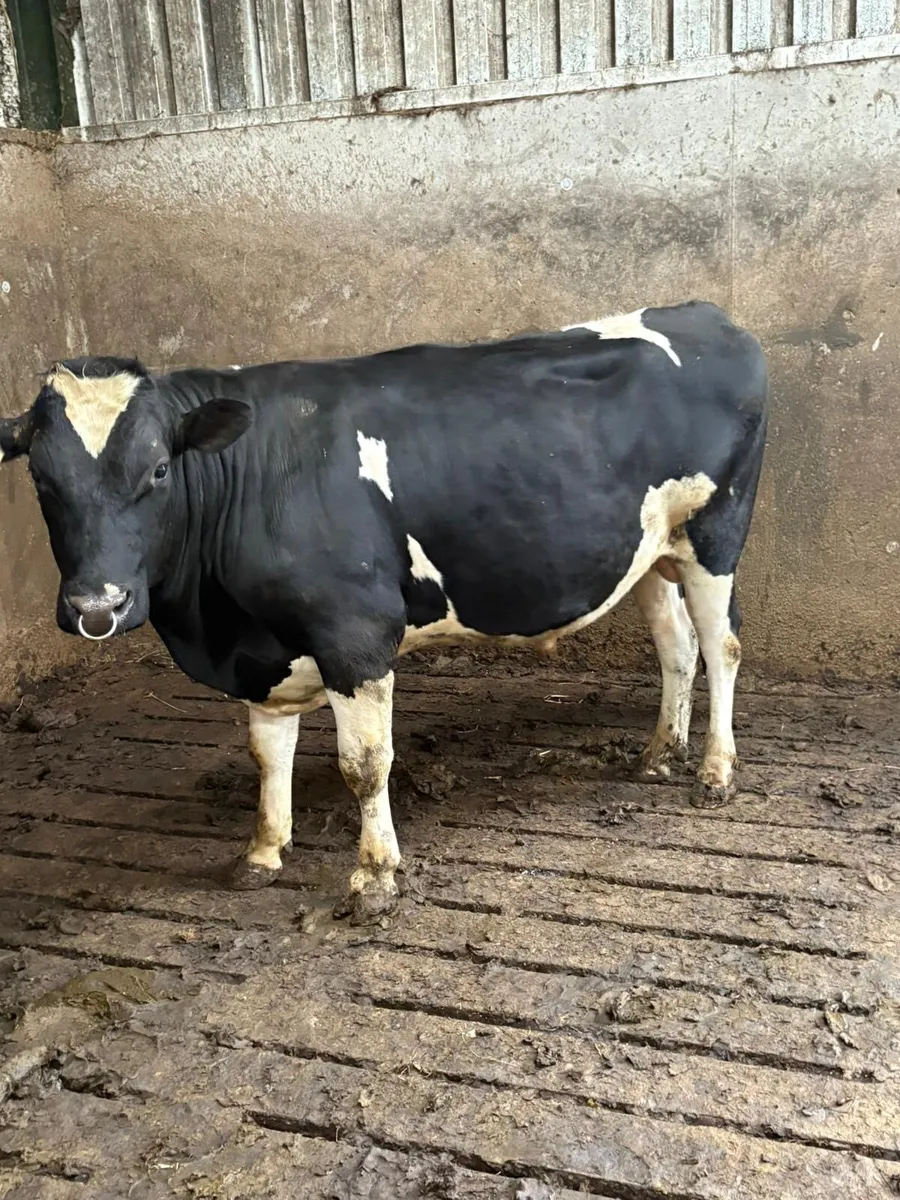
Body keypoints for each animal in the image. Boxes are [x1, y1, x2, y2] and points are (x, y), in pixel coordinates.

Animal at [0, 302, 767, 922]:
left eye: (159, 470)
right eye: (40, 476)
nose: (98, 606)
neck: (217, 623)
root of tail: (707, 314)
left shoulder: (355, 634)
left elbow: (365, 765)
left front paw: (374, 879)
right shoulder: (263, 652)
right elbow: (267, 751)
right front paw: (262, 852)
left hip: (715, 534)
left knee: (722, 647)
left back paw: (715, 773)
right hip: (651, 550)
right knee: (676, 646)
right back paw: (658, 754)